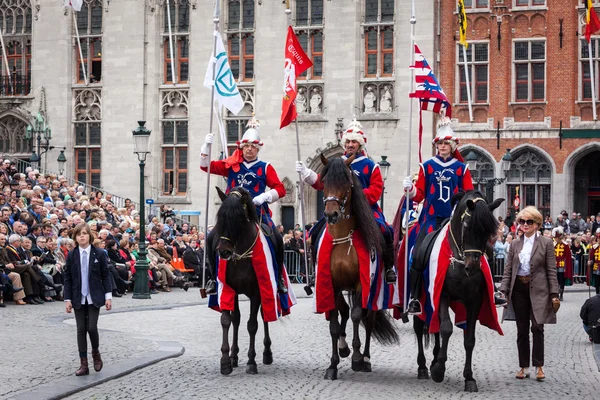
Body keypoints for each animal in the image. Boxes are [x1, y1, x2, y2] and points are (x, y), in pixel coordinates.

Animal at [205, 187, 274, 376]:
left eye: (239, 220)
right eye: (220, 218)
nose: (223, 252)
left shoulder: (257, 292)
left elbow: (252, 325)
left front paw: (251, 362)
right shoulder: (228, 289)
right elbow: (228, 320)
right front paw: (226, 361)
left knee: (264, 316)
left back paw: (267, 353)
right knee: (236, 319)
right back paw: (235, 357)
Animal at [318, 155, 398, 380]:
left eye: (346, 183)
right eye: (324, 181)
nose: (331, 214)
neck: (343, 238)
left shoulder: (361, 284)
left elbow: (356, 315)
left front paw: (357, 357)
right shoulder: (332, 286)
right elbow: (335, 324)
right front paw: (333, 364)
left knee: (367, 320)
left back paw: (366, 359)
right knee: (345, 313)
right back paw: (344, 347)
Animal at [410, 191, 504, 390]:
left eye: (488, 231)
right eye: (467, 226)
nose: (473, 267)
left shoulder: (475, 301)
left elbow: (469, 339)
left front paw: (469, 377)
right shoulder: (442, 295)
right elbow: (446, 328)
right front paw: (439, 370)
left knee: (434, 328)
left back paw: (434, 359)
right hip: (422, 299)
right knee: (420, 328)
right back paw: (423, 367)